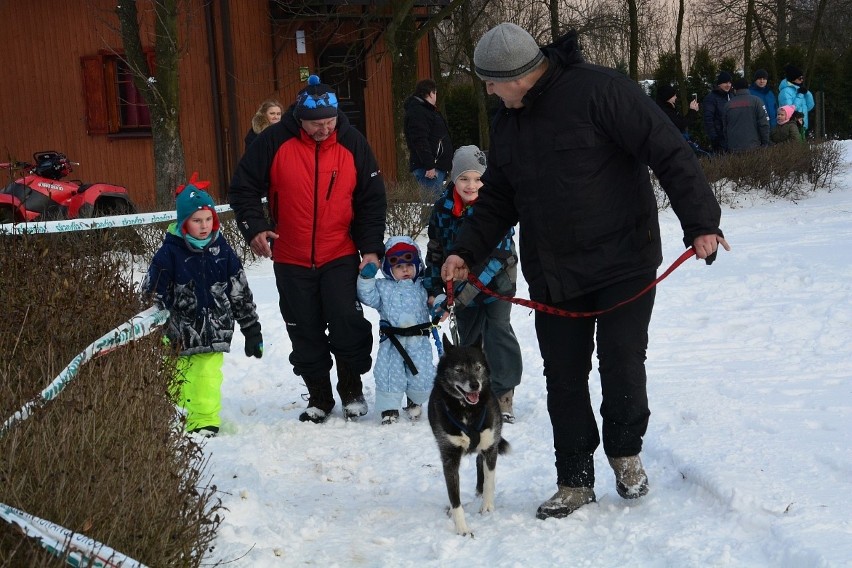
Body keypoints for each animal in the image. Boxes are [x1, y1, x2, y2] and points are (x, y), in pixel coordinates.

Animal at [430, 332, 510, 536]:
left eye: (478, 367)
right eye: (458, 369)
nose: (475, 385)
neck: (467, 410)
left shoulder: (490, 446)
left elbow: (490, 479)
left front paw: (487, 506)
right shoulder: (449, 456)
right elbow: (454, 495)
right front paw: (462, 528)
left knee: (479, 462)